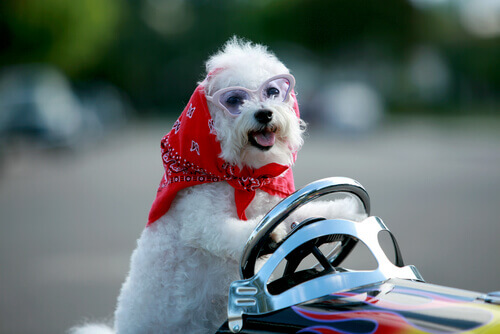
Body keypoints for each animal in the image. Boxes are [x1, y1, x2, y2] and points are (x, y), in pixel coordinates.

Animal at [70, 37, 366, 332]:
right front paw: (270, 237)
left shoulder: (276, 209)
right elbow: (223, 230)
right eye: (234, 100)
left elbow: (308, 213)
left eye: (272, 91)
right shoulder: (200, 219)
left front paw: (348, 213)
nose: (264, 114)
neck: (241, 177)